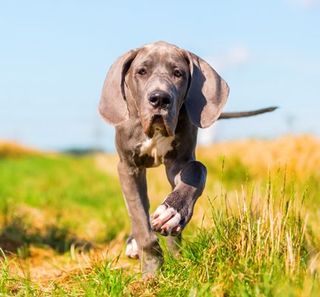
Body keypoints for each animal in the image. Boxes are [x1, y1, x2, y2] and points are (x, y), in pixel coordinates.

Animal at [98, 40, 276, 276]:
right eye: (141, 71)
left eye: (178, 73)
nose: (160, 98)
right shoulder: (128, 167)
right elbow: (138, 215)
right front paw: (151, 271)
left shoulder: (178, 163)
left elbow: (196, 170)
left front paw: (172, 213)